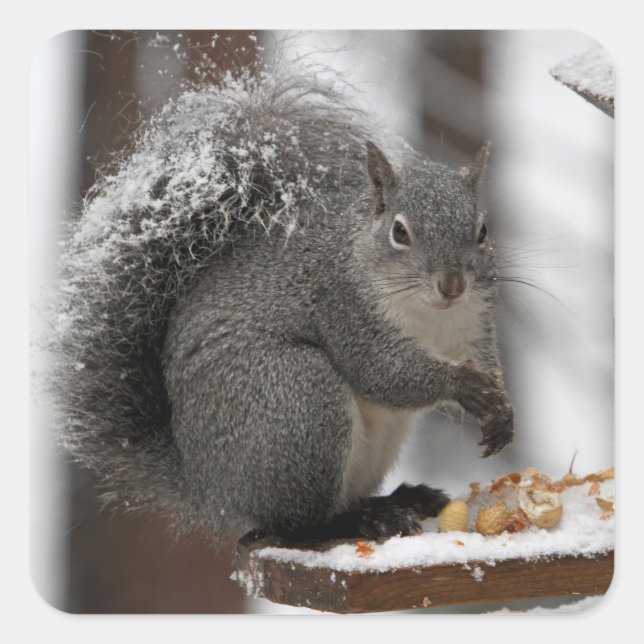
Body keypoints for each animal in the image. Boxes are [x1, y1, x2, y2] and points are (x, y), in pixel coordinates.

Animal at [49, 60, 514, 545]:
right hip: (298, 401)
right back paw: (362, 520)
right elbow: (384, 372)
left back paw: (400, 499)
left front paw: (501, 409)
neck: (431, 316)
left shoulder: (472, 323)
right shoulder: (344, 308)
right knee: (293, 524)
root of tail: (208, 485)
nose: (453, 284)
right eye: (399, 232)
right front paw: (463, 385)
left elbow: (484, 360)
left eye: (482, 230)